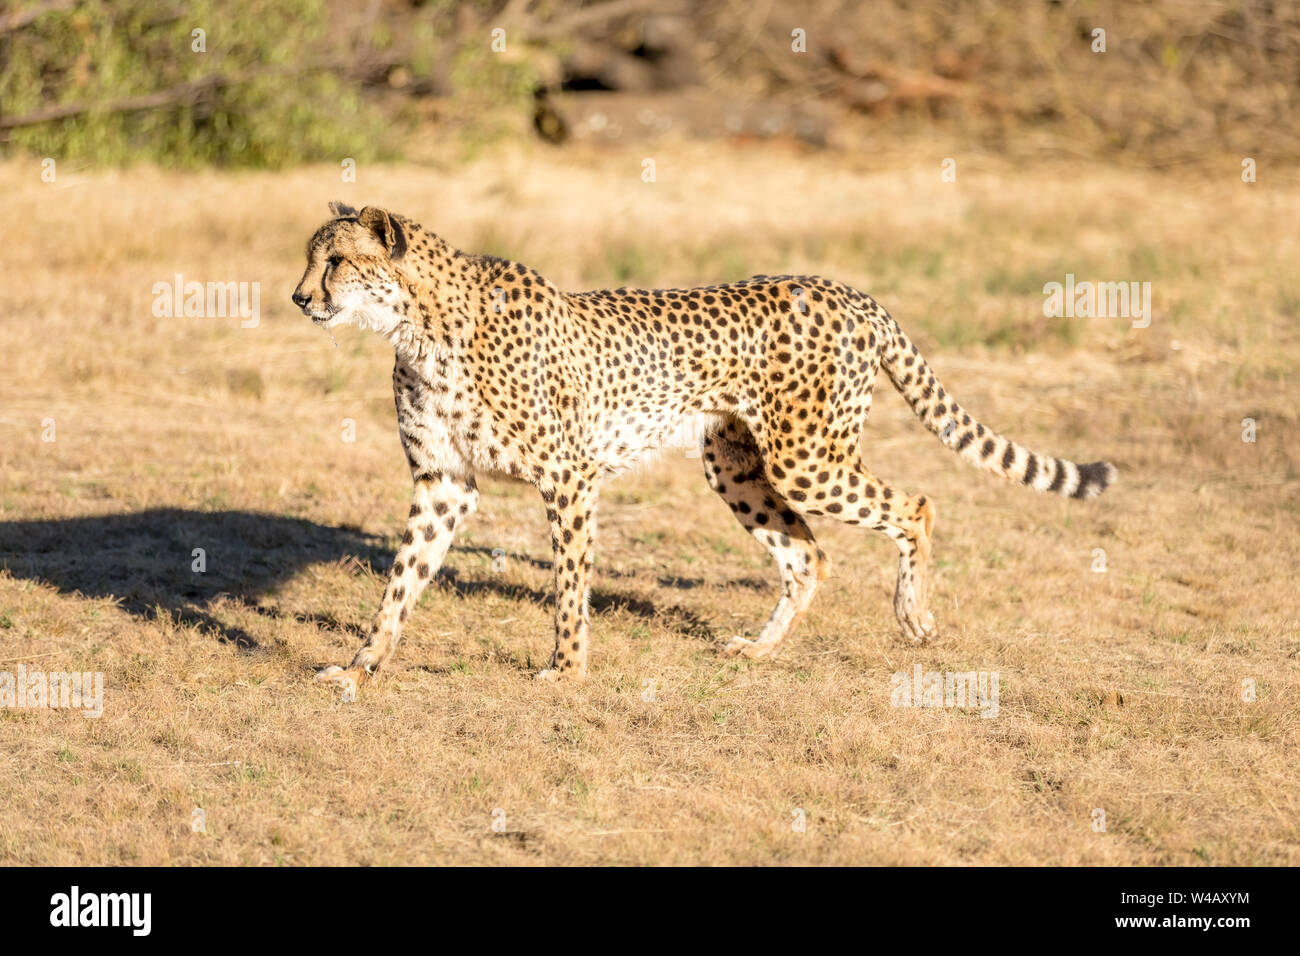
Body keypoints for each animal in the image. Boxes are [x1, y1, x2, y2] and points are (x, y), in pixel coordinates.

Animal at [295, 205, 1118, 691]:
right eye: (312, 259)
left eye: (334, 262)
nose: (300, 297)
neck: (420, 325)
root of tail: (848, 290)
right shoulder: (445, 480)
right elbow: (401, 582)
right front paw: (362, 667)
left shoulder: (569, 477)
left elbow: (569, 587)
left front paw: (566, 671)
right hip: (738, 466)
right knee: (808, 556)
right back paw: (758, 651)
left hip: (807, 459)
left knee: (916, 504)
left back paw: (913, 616)